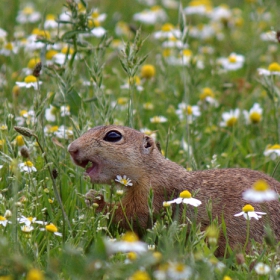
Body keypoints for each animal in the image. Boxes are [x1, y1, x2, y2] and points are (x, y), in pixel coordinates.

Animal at [68, 124, 280, 256]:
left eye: (113, 136)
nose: (71, 149)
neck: (152, 170)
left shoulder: (154, 193)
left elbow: (131, 215)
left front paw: (95, 199)